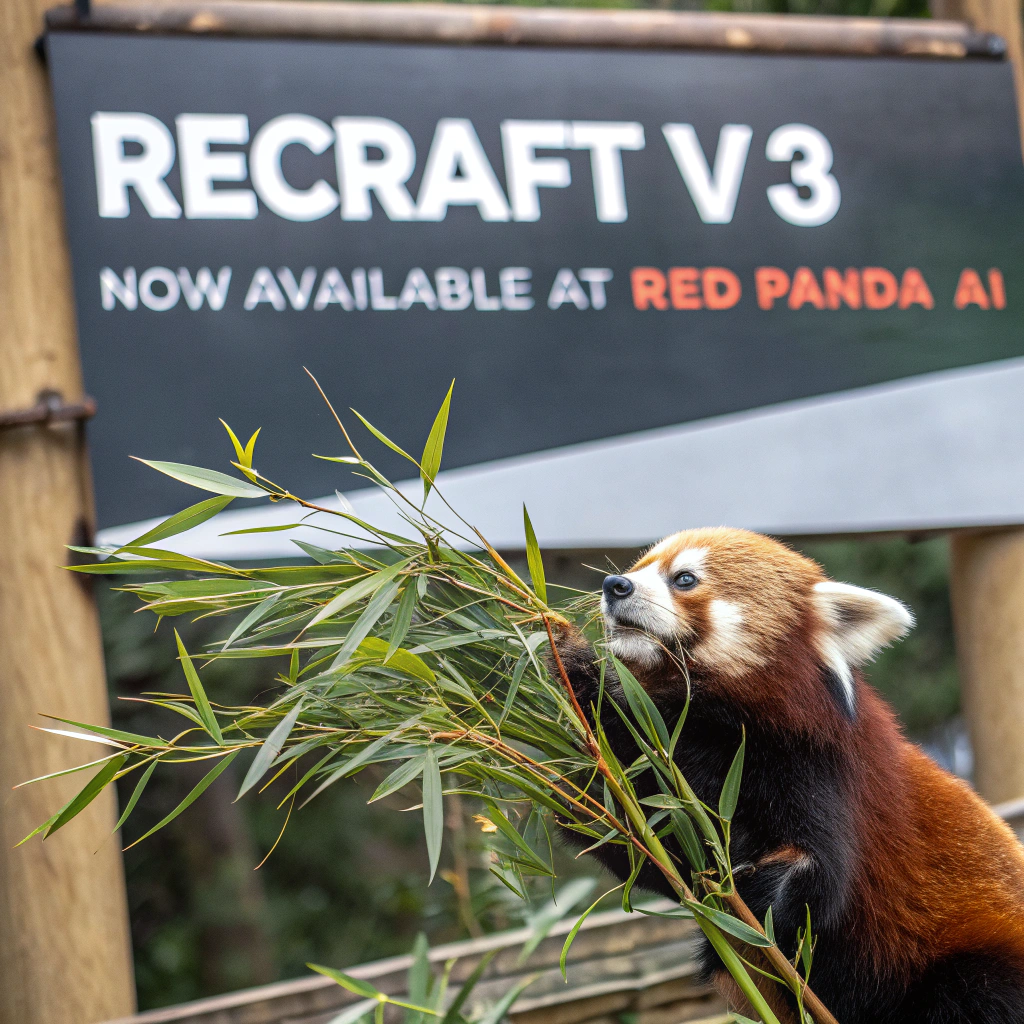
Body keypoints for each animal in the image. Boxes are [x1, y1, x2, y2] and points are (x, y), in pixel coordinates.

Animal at [551, 527, 1024, 1024]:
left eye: (684, 578)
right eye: (638, 566)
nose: (615, 585)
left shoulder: (817, 770)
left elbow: (820, 879)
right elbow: (648, 847)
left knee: (971, 993)